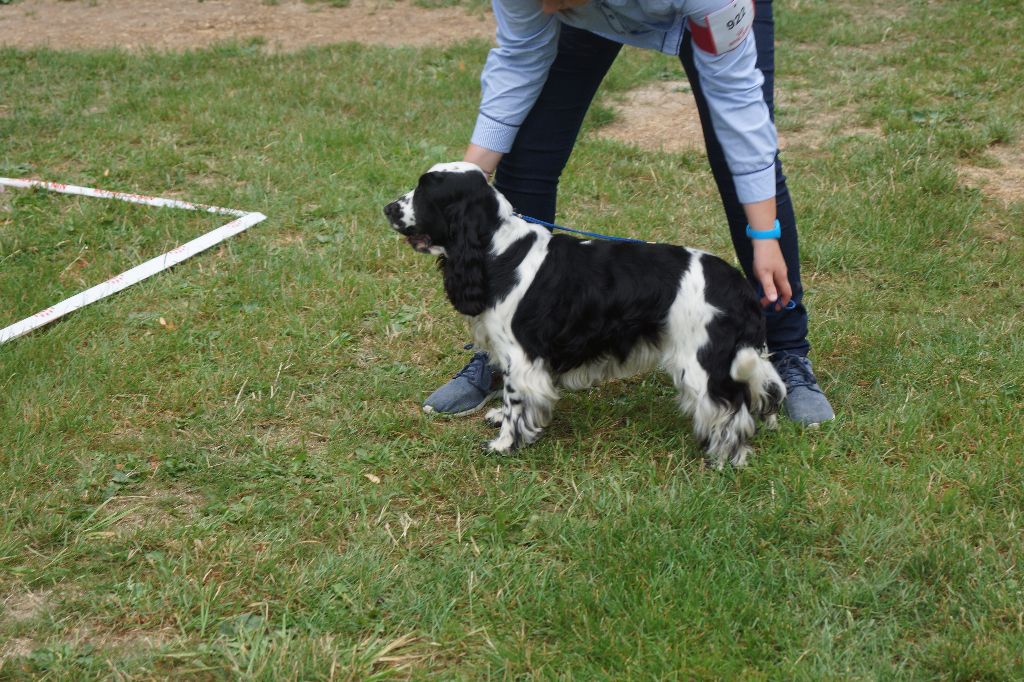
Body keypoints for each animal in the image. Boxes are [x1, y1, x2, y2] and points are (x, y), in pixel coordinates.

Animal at [385, 161, 782, 464]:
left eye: (424, 192)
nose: (387, 208)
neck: (497, 249)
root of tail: (738, 284)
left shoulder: (521, 356)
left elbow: (516, 400)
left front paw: (504, 444)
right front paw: (501, 420)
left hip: (702, 362)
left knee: (730, 409)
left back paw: (726, 459)